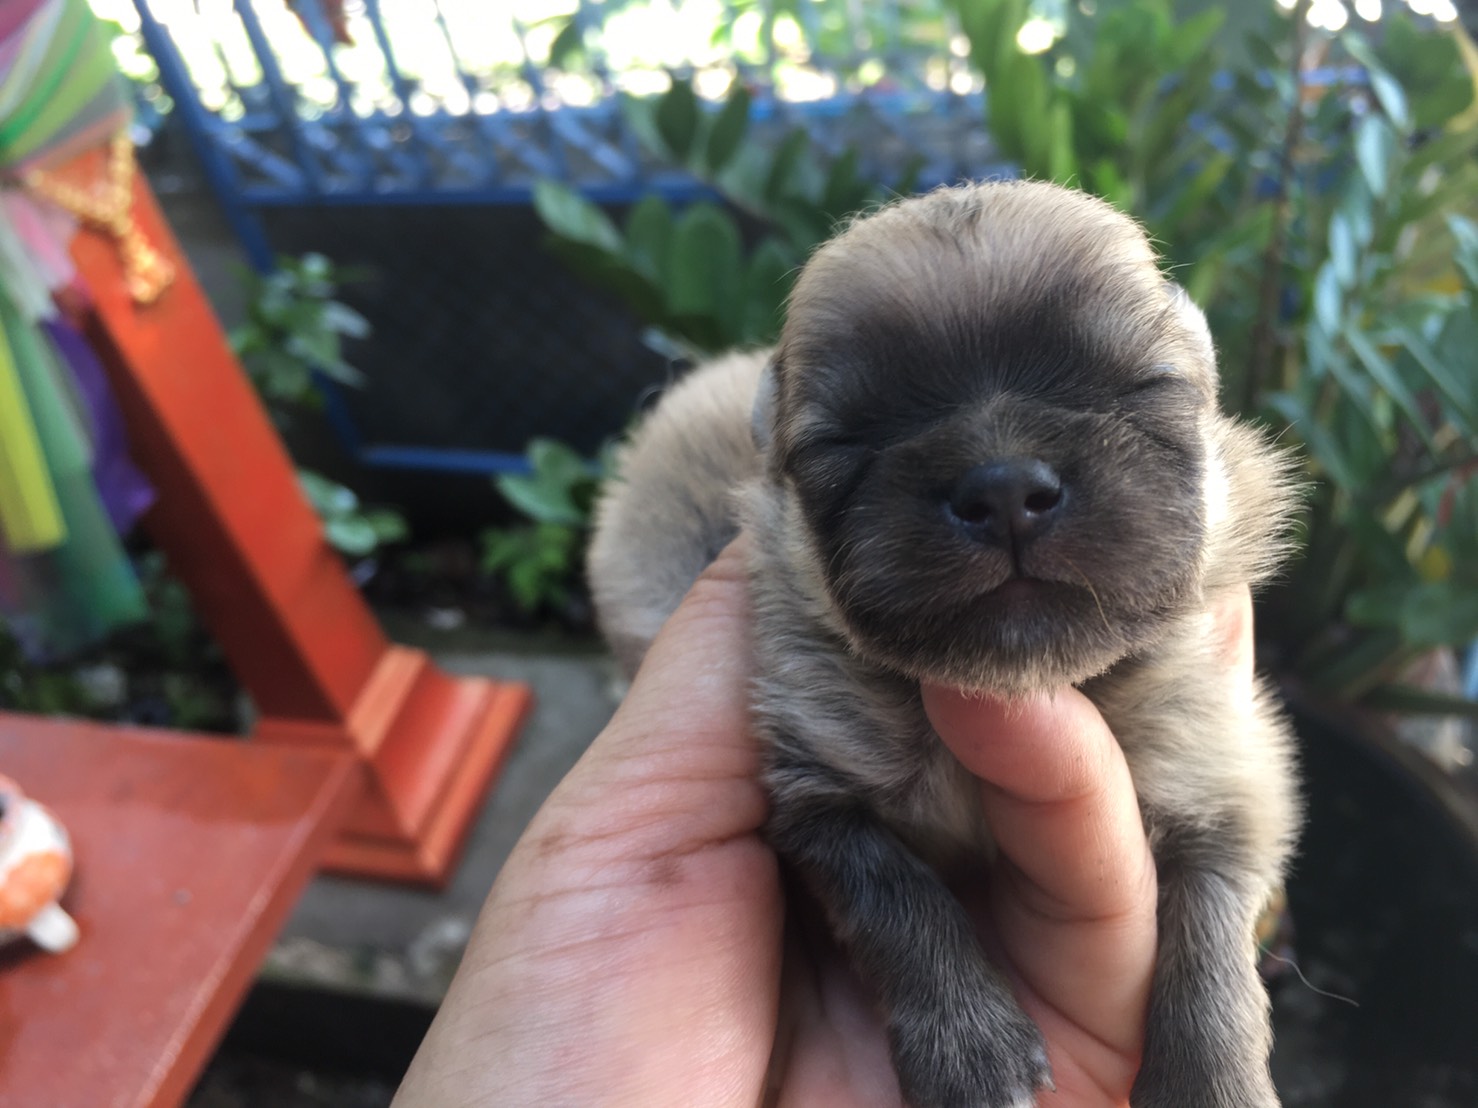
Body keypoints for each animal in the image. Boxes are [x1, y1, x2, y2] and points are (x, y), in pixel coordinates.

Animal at [586, 180, 1302, 1108]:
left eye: (1144, 386)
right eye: (842, 442)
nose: (1004, 490)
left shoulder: (1225, 771)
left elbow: (1210, 922)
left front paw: (1209, 1077)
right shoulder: (816, 790)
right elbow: (896, 900)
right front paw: (969, 1044)